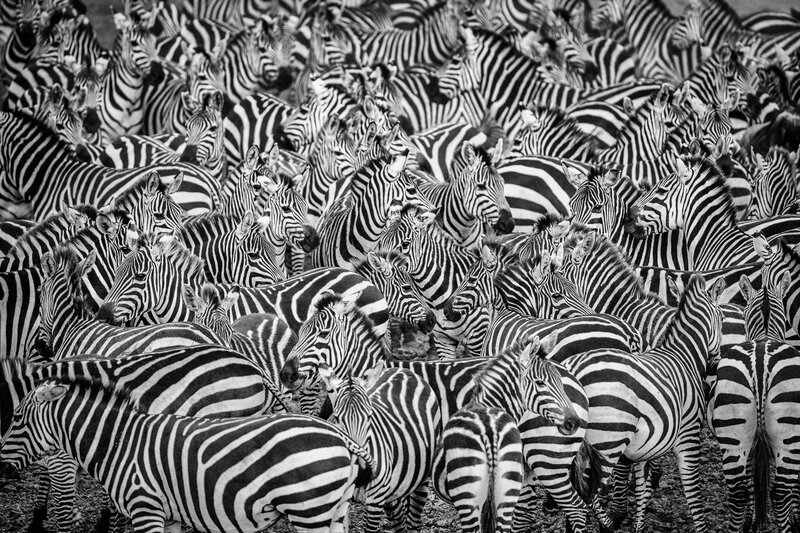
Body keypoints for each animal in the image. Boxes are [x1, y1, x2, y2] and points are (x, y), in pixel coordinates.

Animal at [0, 378, 373, 533]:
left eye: (16, 417)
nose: (0, 468)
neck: (118, 442)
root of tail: (342, 438)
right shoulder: (171, 515)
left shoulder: (146, 507)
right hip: (335, 510)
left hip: (309, 509)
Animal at [320, 362, 440, 532]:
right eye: (336, 418)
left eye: (370, 416)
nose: (363, 473)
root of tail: (401, 369)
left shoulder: (375, 500)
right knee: (399, 517)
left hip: (422, 475)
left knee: (414, 517)